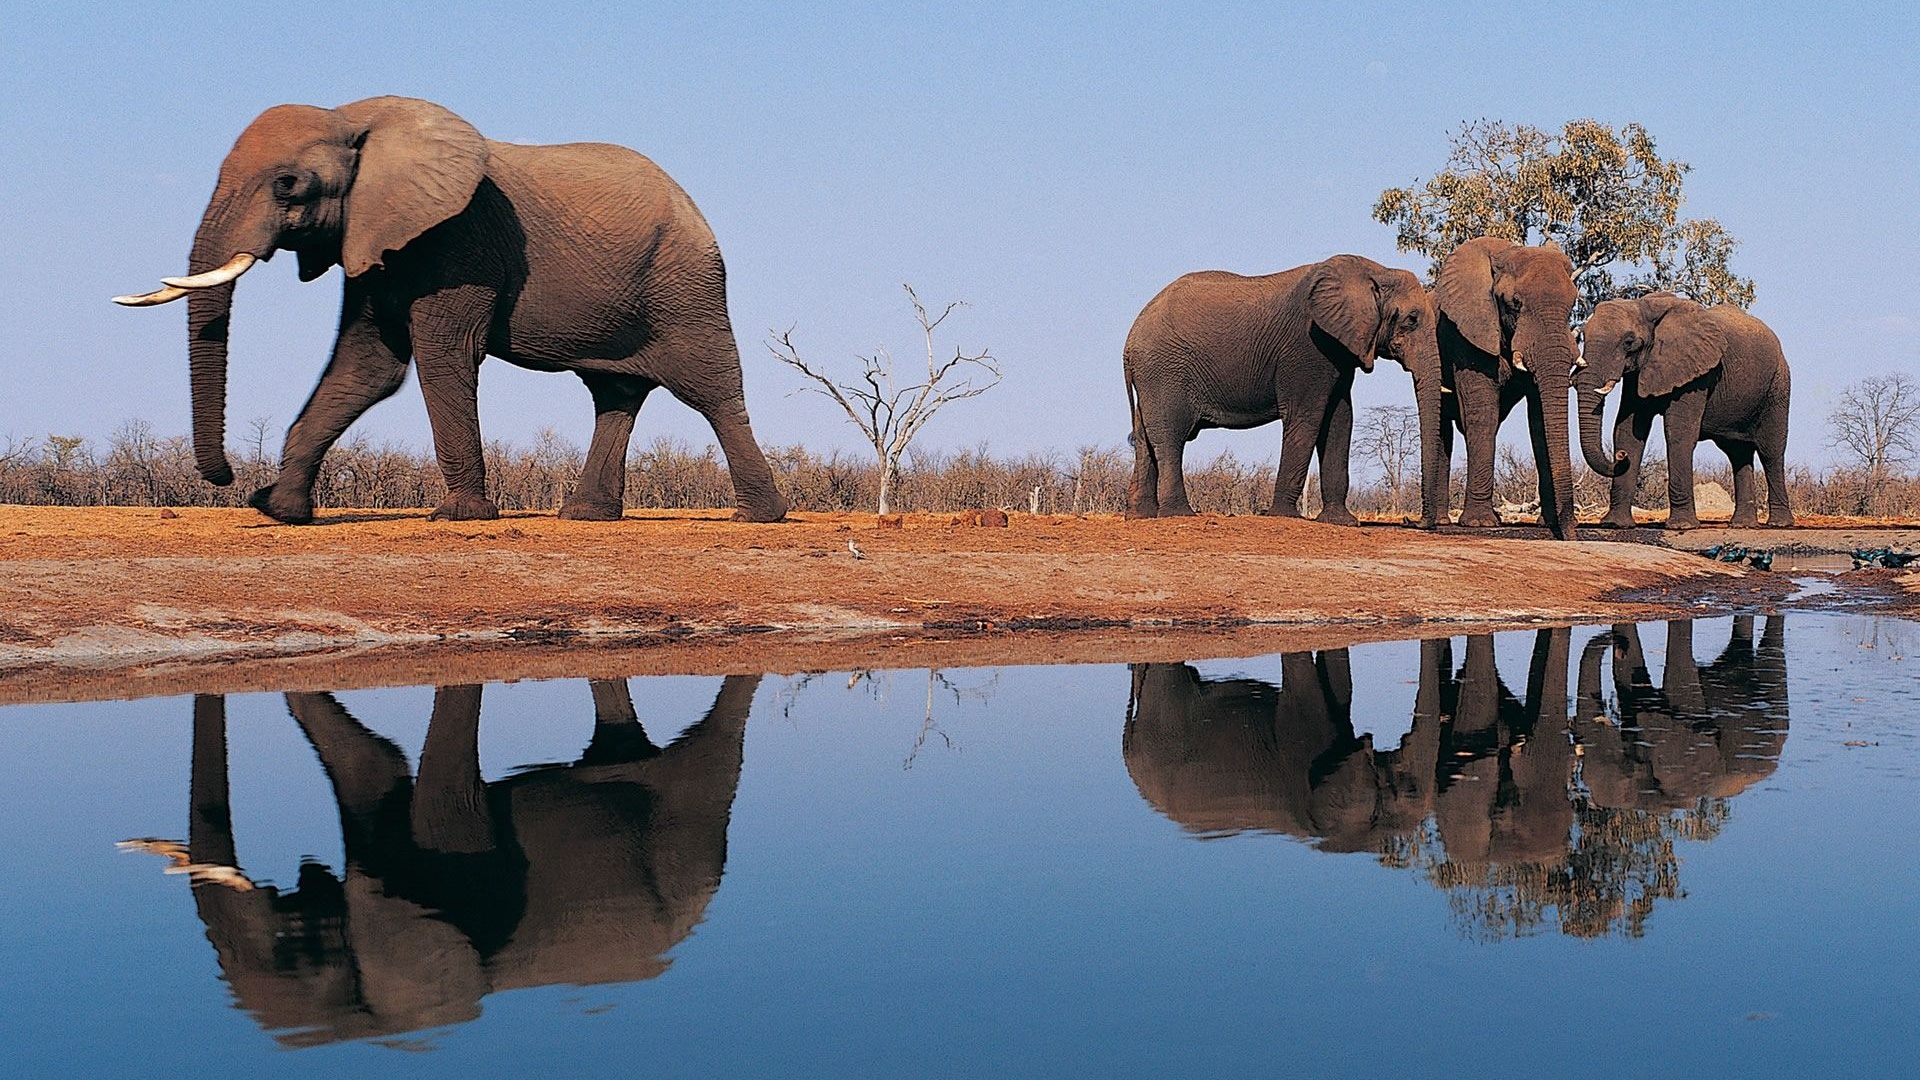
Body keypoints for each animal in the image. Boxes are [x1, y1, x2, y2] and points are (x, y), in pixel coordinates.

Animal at [114, 94, 787, 522]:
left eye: (288, 185)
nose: (228, 477)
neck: (354, 119)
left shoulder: (457, 239)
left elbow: (443, 357)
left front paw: (461, 516)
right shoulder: (377, 240)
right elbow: (366, 367)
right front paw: (280, 510)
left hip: (687, 285)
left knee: (711, 389)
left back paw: (759, 518)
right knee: (613, 393)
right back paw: (585, 518)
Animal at [1121, 251, 1443, 522]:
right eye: (1412, 319)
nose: (1415, 521)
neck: (1375, 271)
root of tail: (1130, 338)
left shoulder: (1340, 350)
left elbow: (1340, 420)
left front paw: (1341, 522)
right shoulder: (1307, 346)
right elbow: (1307, 417)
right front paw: (1283, 516)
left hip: (1152, 377)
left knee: (1145, 437)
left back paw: (1141, 517)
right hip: (1165, 372)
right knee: (1171, 437)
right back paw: (1179, 514)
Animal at [1436, 236, 1582, 538]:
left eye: (1573, 302)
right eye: (1515, 303)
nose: (1572, 534)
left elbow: (1538, 422)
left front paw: (1548, 523)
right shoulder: (1467, 335)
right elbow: (1483, 415)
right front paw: (1480, 524)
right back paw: (1443, 521)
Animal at [1574, 290, 1781, 526]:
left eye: (1628, 342)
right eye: (1582, 336)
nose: (1620, 456)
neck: (1644, 306)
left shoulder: (1697, 373)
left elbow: (1679, 433)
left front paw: (1682, 526)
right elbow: (1627, 431)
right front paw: (1615, 525)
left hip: (1777, 385)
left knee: (1771, 452)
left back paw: (1779, 523)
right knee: (1738, 454)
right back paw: (1742, 524)